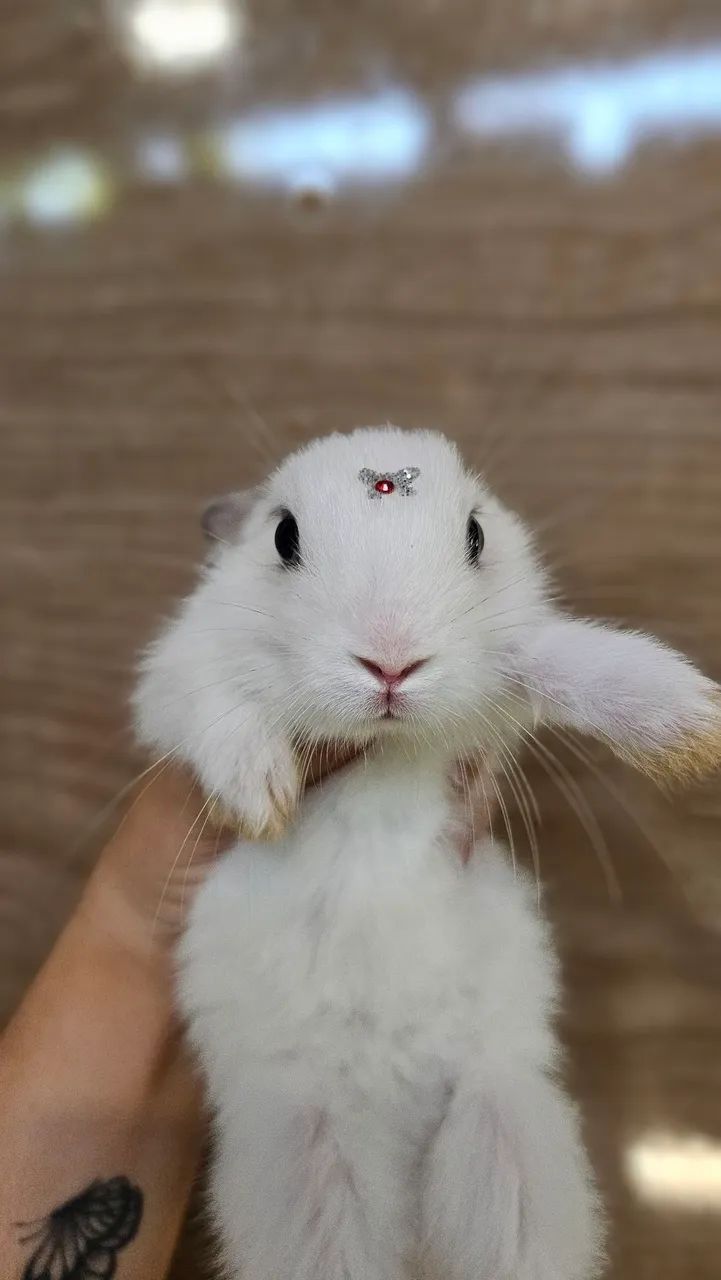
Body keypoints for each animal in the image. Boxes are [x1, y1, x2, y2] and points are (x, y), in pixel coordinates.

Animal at [134, 426, 721, 1280]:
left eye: (475, 535)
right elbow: (215, 706)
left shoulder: (515, 662)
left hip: (502, 1134)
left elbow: (561, 653)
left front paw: (688, 727)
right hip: (312, 1165)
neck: (383, 747)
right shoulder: (179, 672)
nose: (390, 662)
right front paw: (259, 792)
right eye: (283, 537)